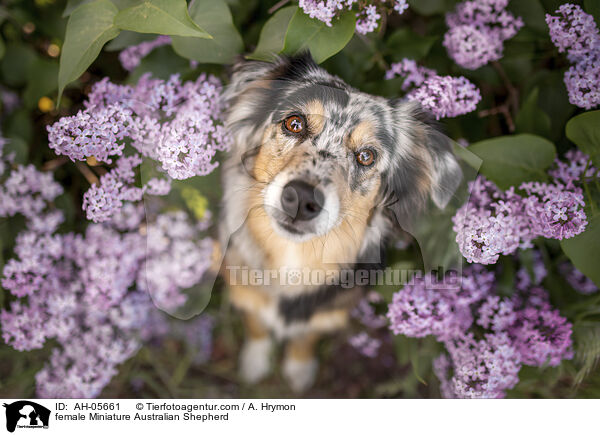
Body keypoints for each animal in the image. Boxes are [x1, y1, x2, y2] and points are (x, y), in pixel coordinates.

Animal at [218, 52, 462, 394]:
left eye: (366, 156)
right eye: (294, 123)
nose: (300, 198)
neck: (293, 258)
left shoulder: (329, 313)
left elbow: (305, 338)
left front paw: (299, 368)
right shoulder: (244, 291)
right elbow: (256, 325)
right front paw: (255, 360)